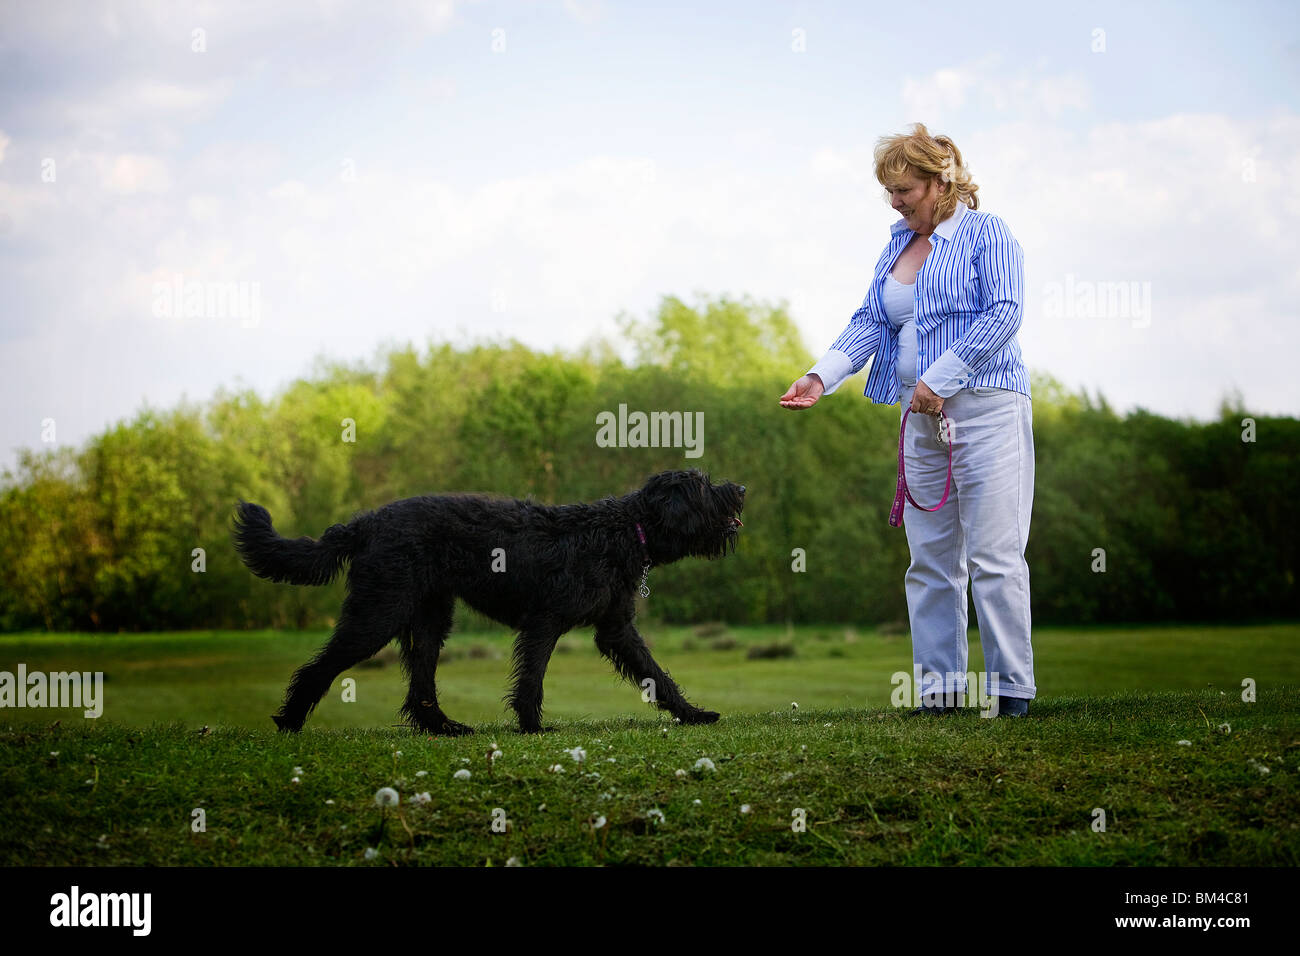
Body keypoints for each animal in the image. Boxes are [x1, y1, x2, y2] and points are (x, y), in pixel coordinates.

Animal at [231, 468, 743, 733]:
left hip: (430, 622)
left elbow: (657, 675)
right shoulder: (544, 622)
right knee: (318, 668)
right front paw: (533, 726)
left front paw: (693, 714)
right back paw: (290, 720)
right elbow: (532, 679)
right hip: (377, 614)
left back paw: (444, 727)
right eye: (702, 485)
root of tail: (365, 522)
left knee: (420, 689)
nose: (740, 488)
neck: (624, 529)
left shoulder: (616, 629)